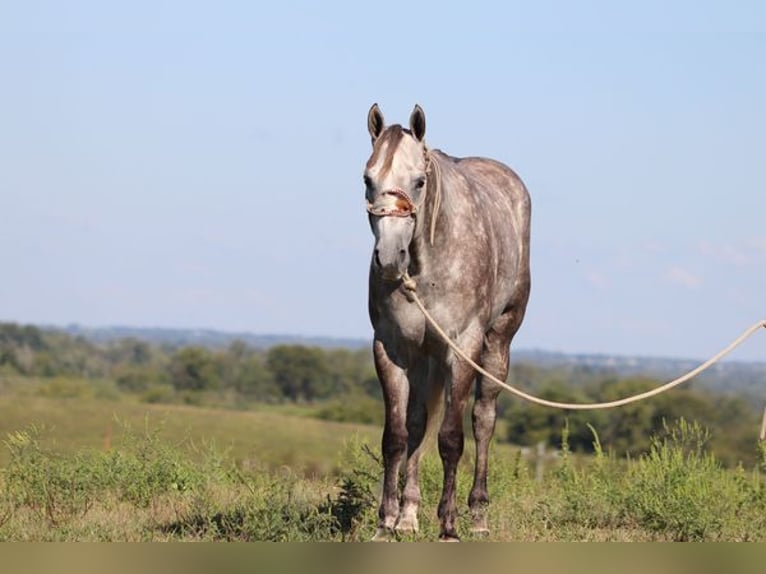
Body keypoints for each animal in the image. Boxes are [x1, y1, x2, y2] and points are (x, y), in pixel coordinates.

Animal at [366, 104, 536, 544]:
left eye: (419, 181)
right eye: (368, 179)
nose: (388, 258)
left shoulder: (462, 349)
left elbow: (451, 440)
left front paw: (448, 526)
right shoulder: (392, 349)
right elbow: (396, 437)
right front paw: (387, 522)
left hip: (496, 346)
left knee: (483, 420)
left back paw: (477, 515)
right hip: (426, 357)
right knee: (417, 422)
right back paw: (409, 515)